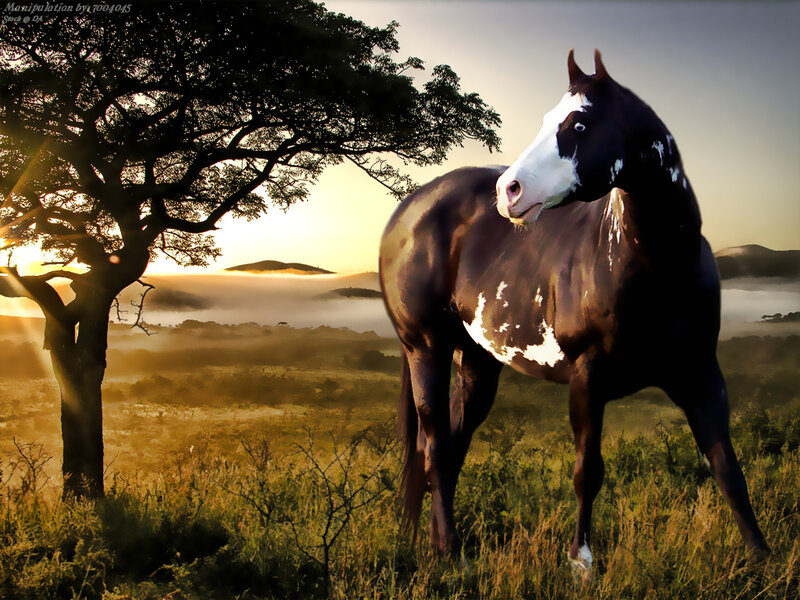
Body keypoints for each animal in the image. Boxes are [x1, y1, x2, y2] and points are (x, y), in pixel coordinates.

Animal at [378, 50, 769, 575]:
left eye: (579, 124)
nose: (508, 191)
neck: (657, 265)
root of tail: (406, 212)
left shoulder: (702, 375)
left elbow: (727, 466)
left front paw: (763, 558)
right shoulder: (588, 379)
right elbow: (588, 470)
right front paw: (581, 561)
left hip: (477, 363)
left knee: (445, 448)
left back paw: (427, 543)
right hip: (427, 349)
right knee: (436, 447)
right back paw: (452, 554)